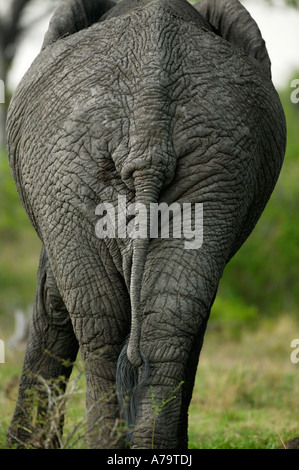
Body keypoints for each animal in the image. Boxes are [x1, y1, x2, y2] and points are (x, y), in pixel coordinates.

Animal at [6, 0, 286, 450]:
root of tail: (150, 115)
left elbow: (51, 295)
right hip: (214, 165)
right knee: (169, 318)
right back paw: (150, 445)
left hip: (70, 166)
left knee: (100, 323)